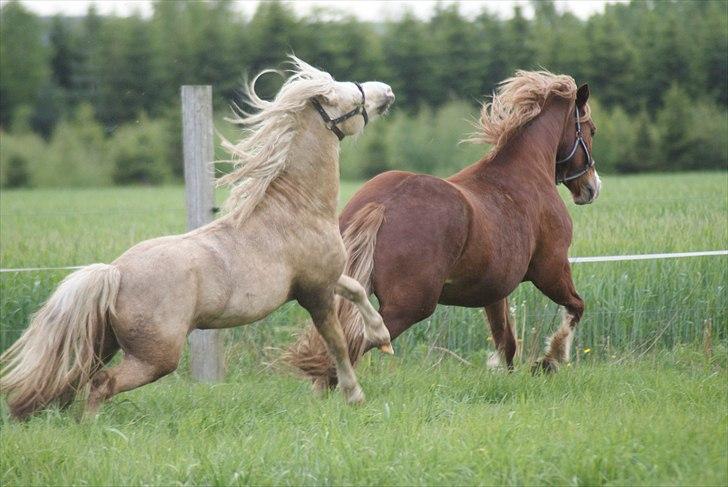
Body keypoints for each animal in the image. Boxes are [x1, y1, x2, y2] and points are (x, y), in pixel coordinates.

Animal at [1, 59, 398, 420]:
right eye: (352, 95)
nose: (387, 91)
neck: (295, 208)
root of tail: (115, 272)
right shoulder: (315, 293)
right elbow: (337, 344)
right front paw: (354, 395)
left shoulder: (322, 280)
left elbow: (357, 290)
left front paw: (382, 339)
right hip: (157, 357)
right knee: (102, 384)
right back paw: (92, 428)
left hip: (106, 343)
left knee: (80, 376)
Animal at [288, 70, 604, 388]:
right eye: (591, 130)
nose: (592, 187)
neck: (525, 174)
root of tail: (380, 205)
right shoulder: (551, 268)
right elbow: (576, 307)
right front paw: (550, 360)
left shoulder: (495, 291)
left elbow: (507, 341)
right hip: (411, 305)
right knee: (361, 340)